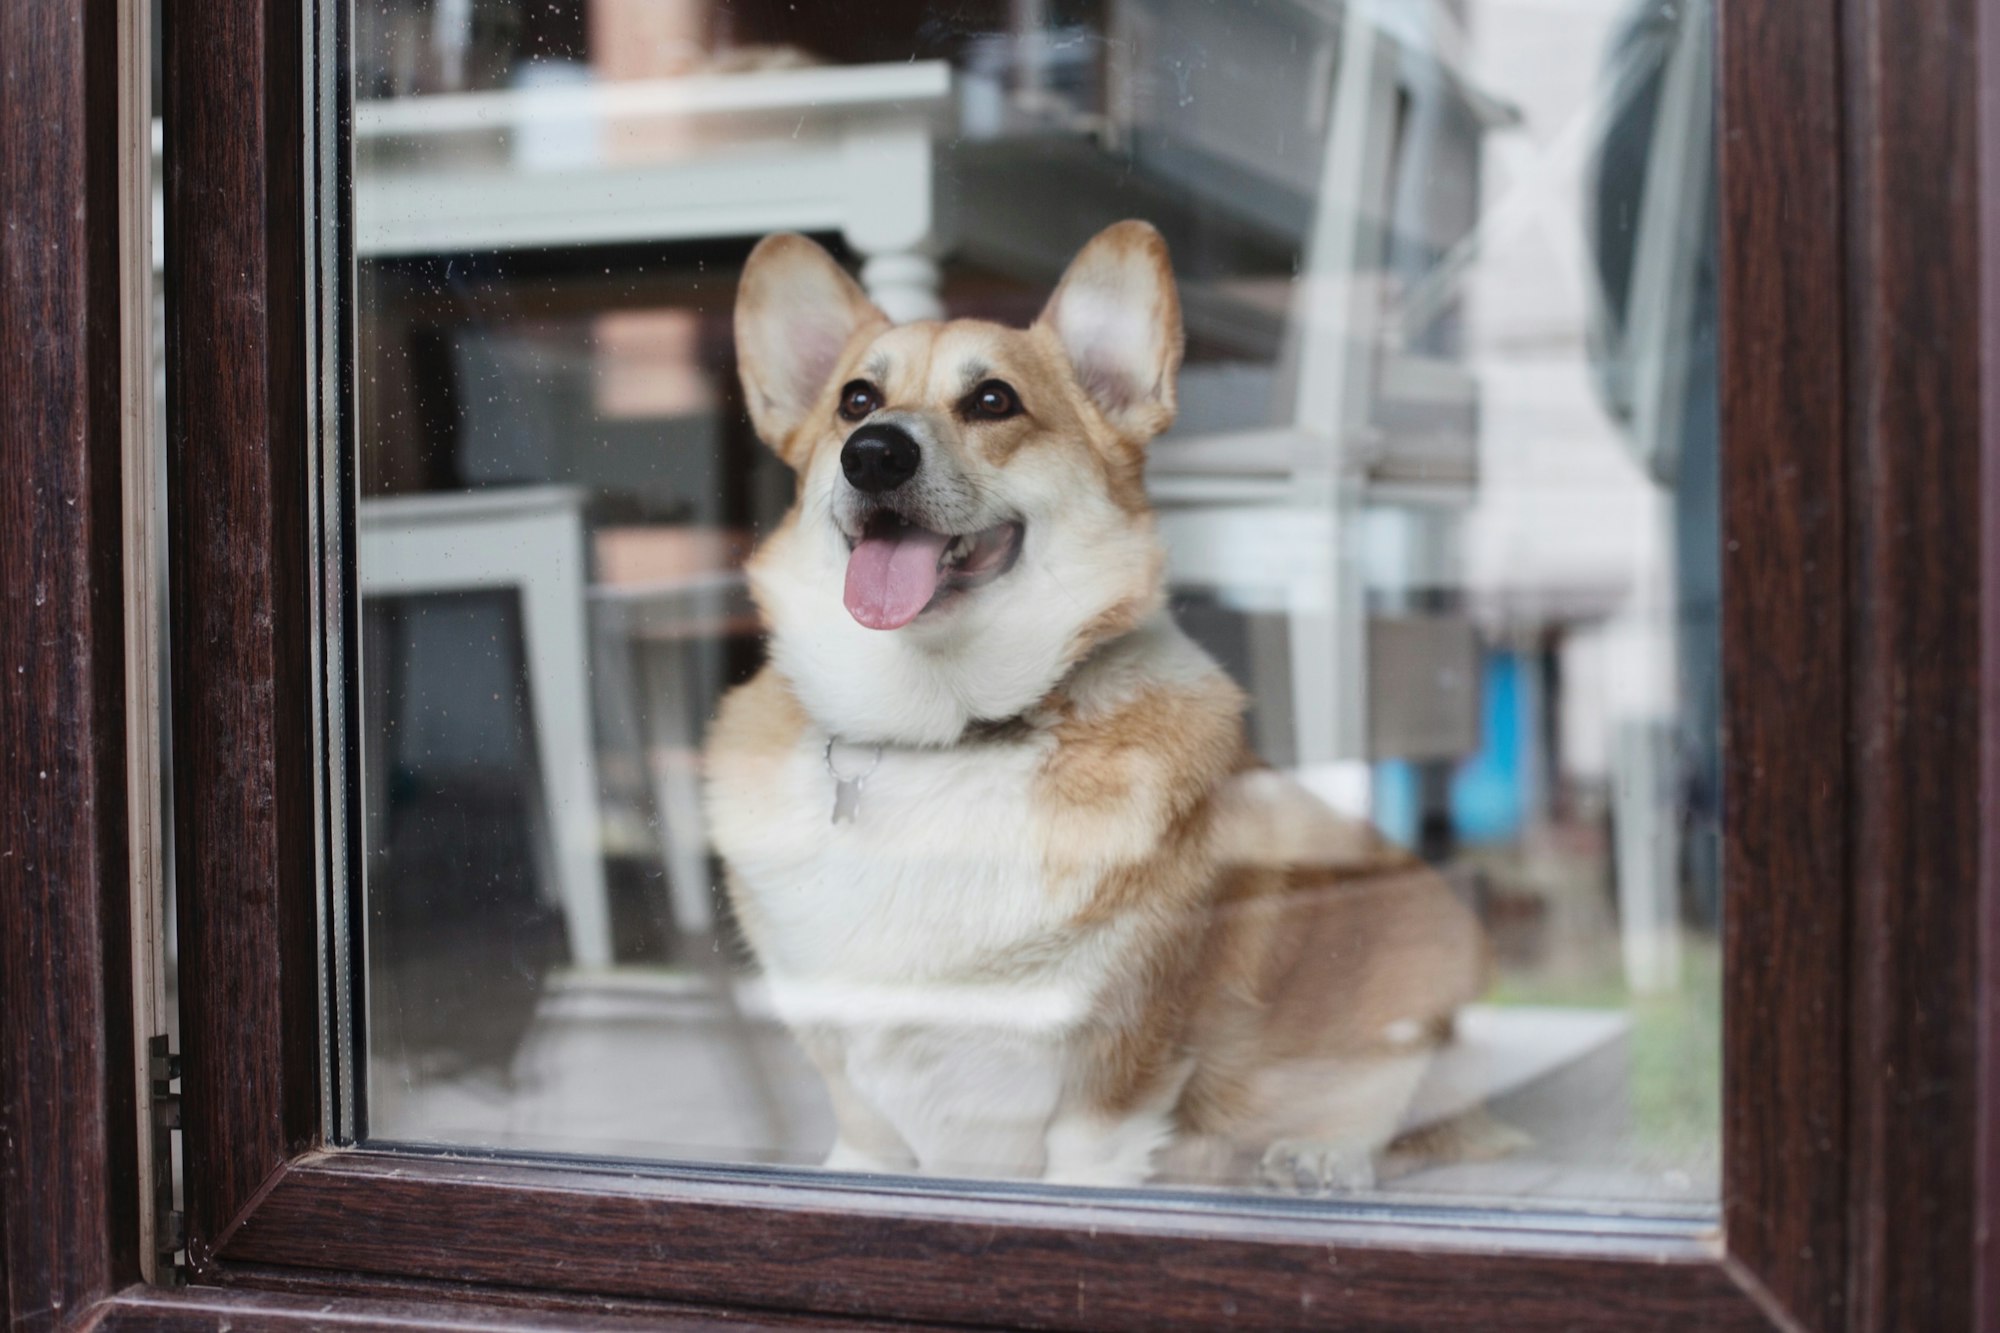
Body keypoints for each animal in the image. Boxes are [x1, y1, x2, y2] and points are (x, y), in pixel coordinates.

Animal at [704, 220, 1488, 1184]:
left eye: (993, 400)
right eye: (856, 399)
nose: (875, 453)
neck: (946, 731)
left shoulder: (1112, 1074)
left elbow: (1089, 1163)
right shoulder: (851, 1083)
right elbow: (864, 1141)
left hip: (1425, 956)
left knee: (1398, 1107)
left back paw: (1321, 1157)